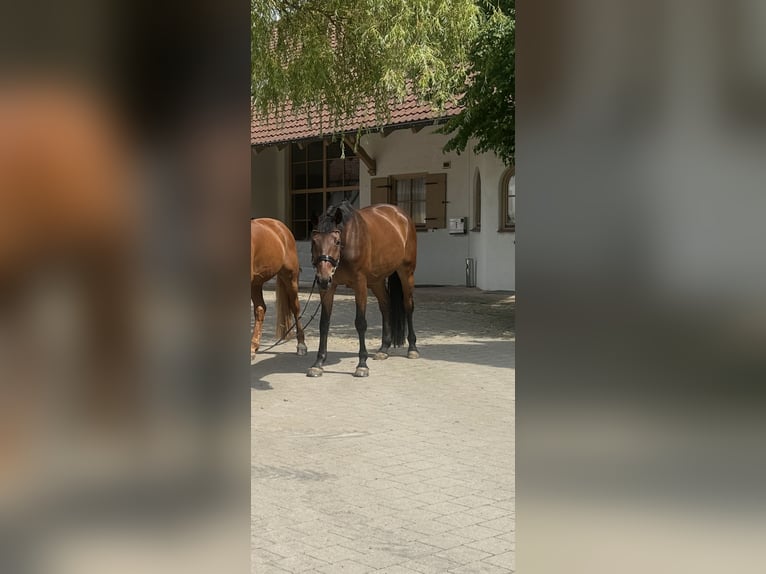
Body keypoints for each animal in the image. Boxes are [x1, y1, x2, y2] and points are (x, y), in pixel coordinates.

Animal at [251, 218, 307, 361]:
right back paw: (253, 347)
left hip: (290, 278)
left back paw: (301, 345)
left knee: (295, 308)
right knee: (260, 309)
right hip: (256, 283)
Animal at [307, 201, 419, 378]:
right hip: (376, 281)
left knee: (408, 306)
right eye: (314, 241)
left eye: (336, 241)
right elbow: (324, 323)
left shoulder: (359, 284)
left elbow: (360, 323)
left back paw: (412, 348)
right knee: (386, 305)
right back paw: (383, 349)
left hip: (406, 273)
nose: (323, 278)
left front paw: (362, 364)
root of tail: (401, 215)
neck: (348, 241)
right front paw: (318, 363)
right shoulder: (328, 288)